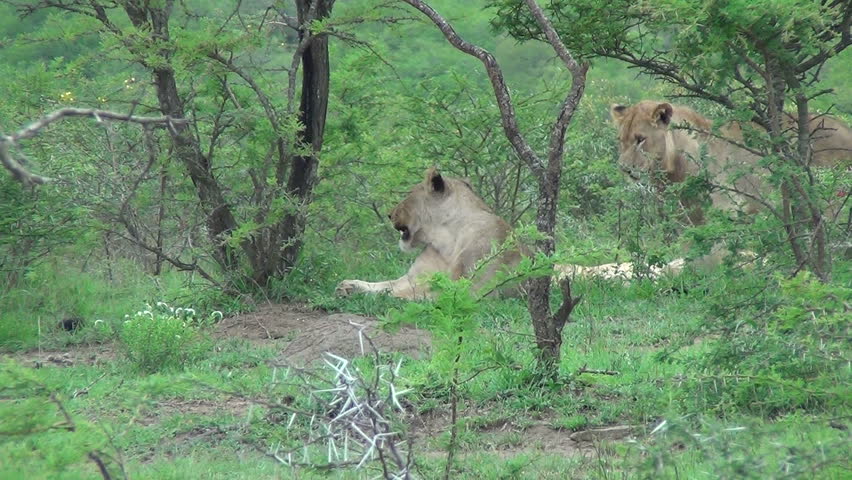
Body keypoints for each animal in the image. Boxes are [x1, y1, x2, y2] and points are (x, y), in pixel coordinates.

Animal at [335, 168, 524, 299]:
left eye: (410, 194)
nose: (389, 214)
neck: (447, 240)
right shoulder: (412, 278)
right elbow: (385, 285)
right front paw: (349, 285)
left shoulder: (473, 290)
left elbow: (405, 295)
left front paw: (353, 291)